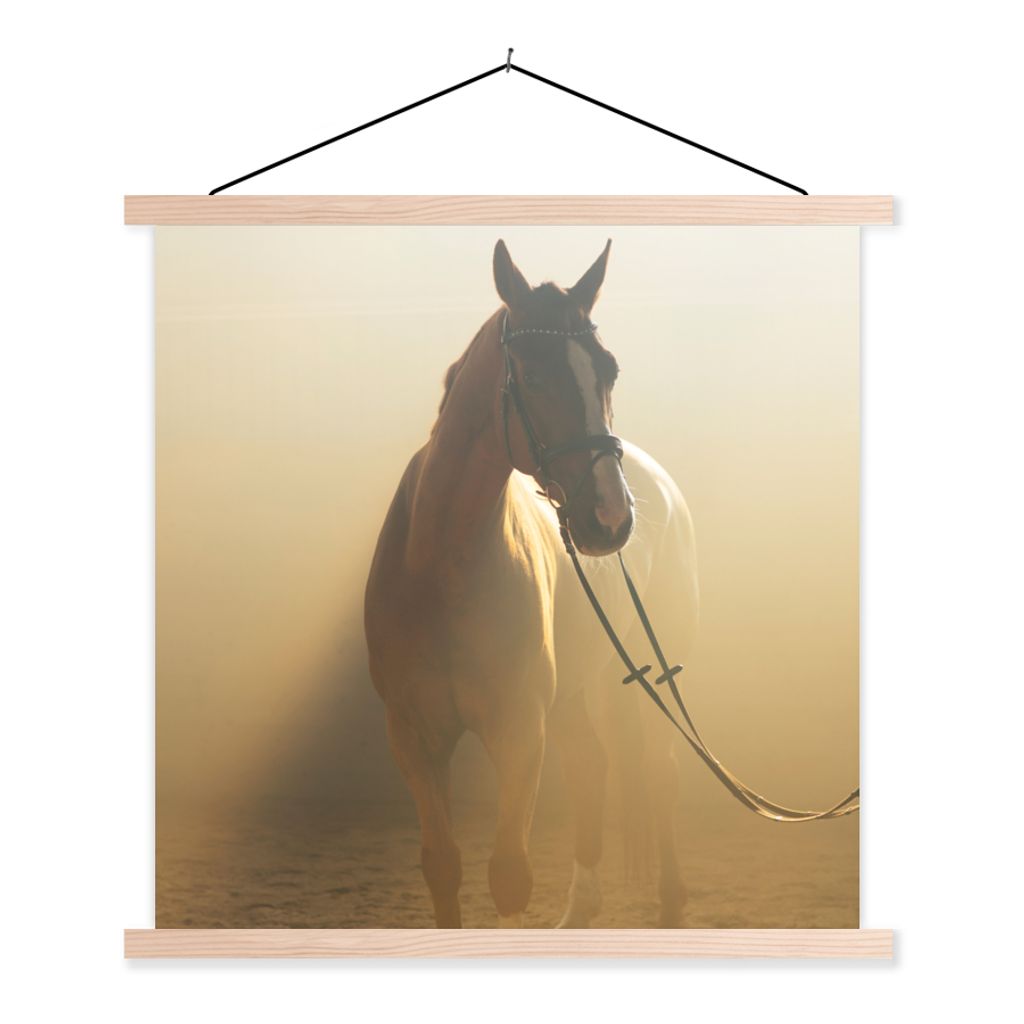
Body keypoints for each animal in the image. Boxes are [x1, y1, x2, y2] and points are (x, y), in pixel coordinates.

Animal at [364, 239, 699, 927]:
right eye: (534, 375)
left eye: (608, 372)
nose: (610, 517)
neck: (441, 570)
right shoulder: (413, 738)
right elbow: (444, 867)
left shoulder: (519, 731)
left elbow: (510, 877)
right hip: (570, 693)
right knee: (592, 767)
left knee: (661, 773)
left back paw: (671, 902)